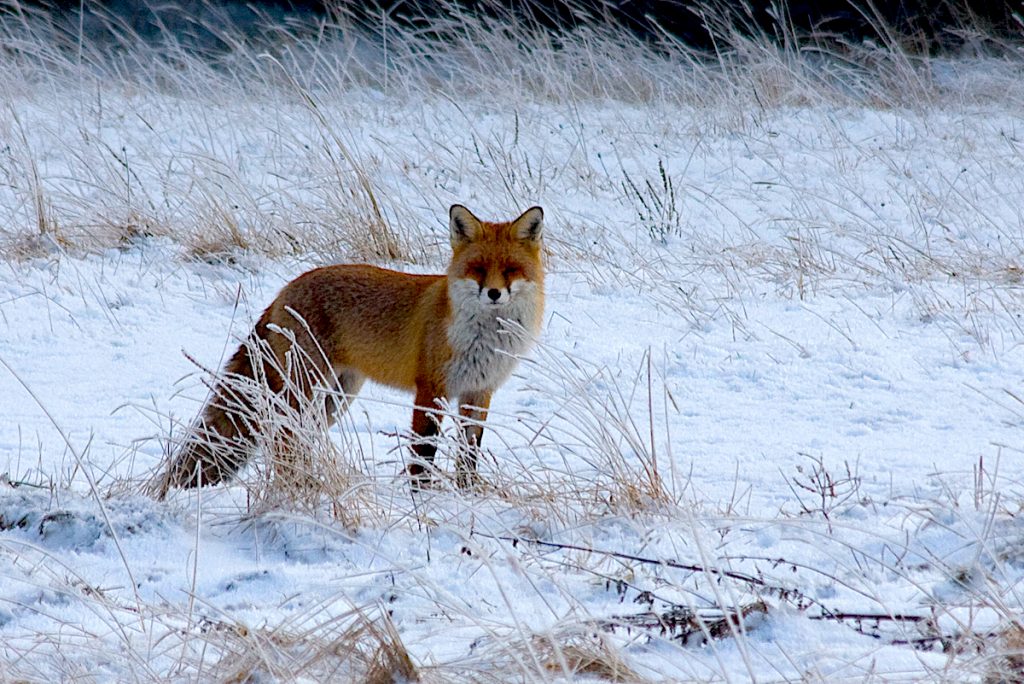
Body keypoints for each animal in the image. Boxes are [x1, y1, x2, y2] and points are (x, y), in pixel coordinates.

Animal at [157, 204, 544, 497]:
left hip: (334, 397)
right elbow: (423, 453)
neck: (485, 338)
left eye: (511, 270)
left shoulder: (479, 392)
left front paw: (468, 493)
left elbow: (469, 453)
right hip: (304, 389)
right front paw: (422, 500)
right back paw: (297, 487)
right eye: (478, 269)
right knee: (281, 436)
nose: (493, 293)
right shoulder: (430, 389)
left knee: (295, 438)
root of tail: (284, 290)